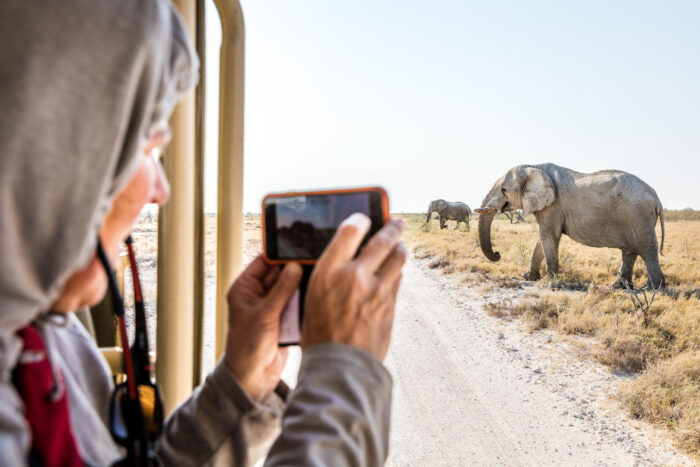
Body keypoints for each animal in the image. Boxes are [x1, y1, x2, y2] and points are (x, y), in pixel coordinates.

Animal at [476, 164, 668, 288]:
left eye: (503, 190)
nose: (497, 254)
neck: (534, 166)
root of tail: (656, 196)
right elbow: (541, 239)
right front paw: (529, 277)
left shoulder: (553, 205)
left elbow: (548, 236)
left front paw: (550, 283)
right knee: (629, 253)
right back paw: (618, 287)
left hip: (640, 217)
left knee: (648, 250)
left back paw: (653, 288)